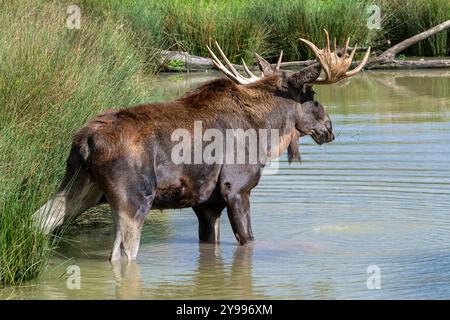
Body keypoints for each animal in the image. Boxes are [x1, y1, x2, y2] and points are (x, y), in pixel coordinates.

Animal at [34, 30, 370, 260]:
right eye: (312, 96)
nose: (329, 129)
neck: (265, 132)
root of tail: (85, 143)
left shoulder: (207, 203)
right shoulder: (236, 189)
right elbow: (249, 241)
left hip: (80, 186)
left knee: (40, 220)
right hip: (133, 198)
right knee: (122, 254)